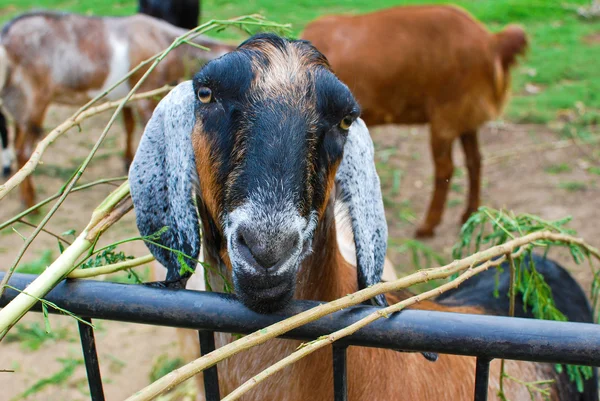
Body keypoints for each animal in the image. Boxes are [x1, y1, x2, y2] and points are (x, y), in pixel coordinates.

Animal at [0, 11, 234, 208]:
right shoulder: (147, 94)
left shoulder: (129, 97)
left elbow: (129, 126)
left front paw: (128, 162)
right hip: (33, 100)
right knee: (24, 151)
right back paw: (31, 203)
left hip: (18, 102)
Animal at [302, 5, 528, 238]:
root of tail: (492, 42)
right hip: (466, 116)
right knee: (474, 160)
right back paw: (469, 214)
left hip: (446, 116)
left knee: (446, 168)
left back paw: (428, 225)